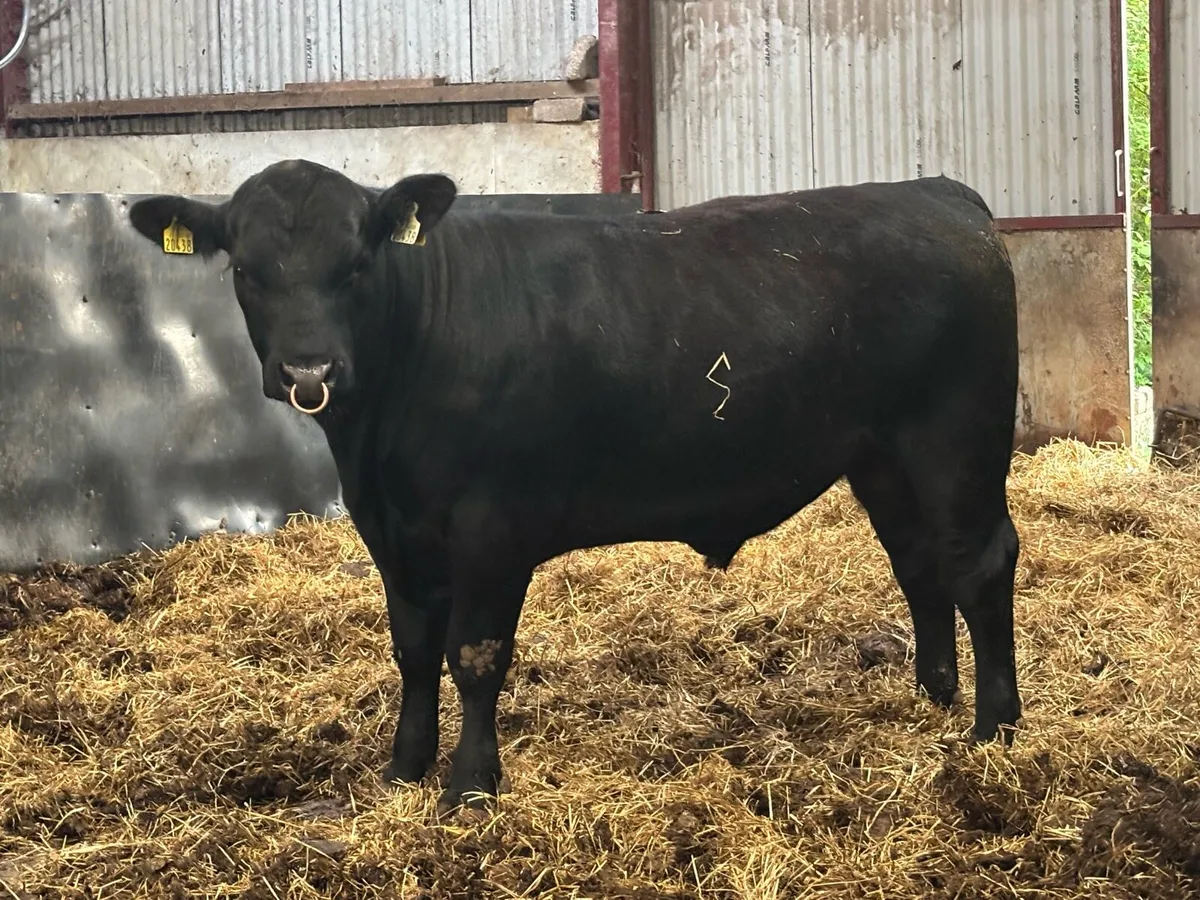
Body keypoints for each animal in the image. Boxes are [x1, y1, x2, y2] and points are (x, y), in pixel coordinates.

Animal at [128, 160, 1022, 815]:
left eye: (356, 264)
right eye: (247, 272)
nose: (309, 371)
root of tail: (936, 190)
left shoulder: (489, 528)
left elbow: (474, 656)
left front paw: (470, 785)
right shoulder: (392, 532)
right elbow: (412, 650)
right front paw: (405, 768)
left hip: (956, 439)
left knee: (980, 563)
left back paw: (995, 728)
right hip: (882, 456)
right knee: (919, 563)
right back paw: (934, 696)